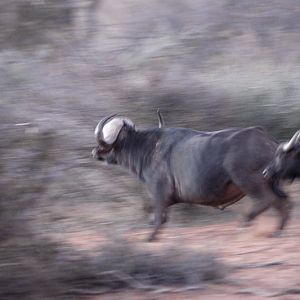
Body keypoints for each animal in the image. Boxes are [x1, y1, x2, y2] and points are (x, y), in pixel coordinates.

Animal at [92, 113, 292, 240]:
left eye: (104, 141)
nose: (95, 152)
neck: (147, 148)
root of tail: (268, 140)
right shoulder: (168, 198)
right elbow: (154, 213)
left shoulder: (158, 191)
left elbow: (157, 214)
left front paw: (151, 236)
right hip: (273, 184)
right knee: (284, 202)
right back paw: (278, 231)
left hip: (249, 181)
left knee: (267, 200)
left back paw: (245, 222)